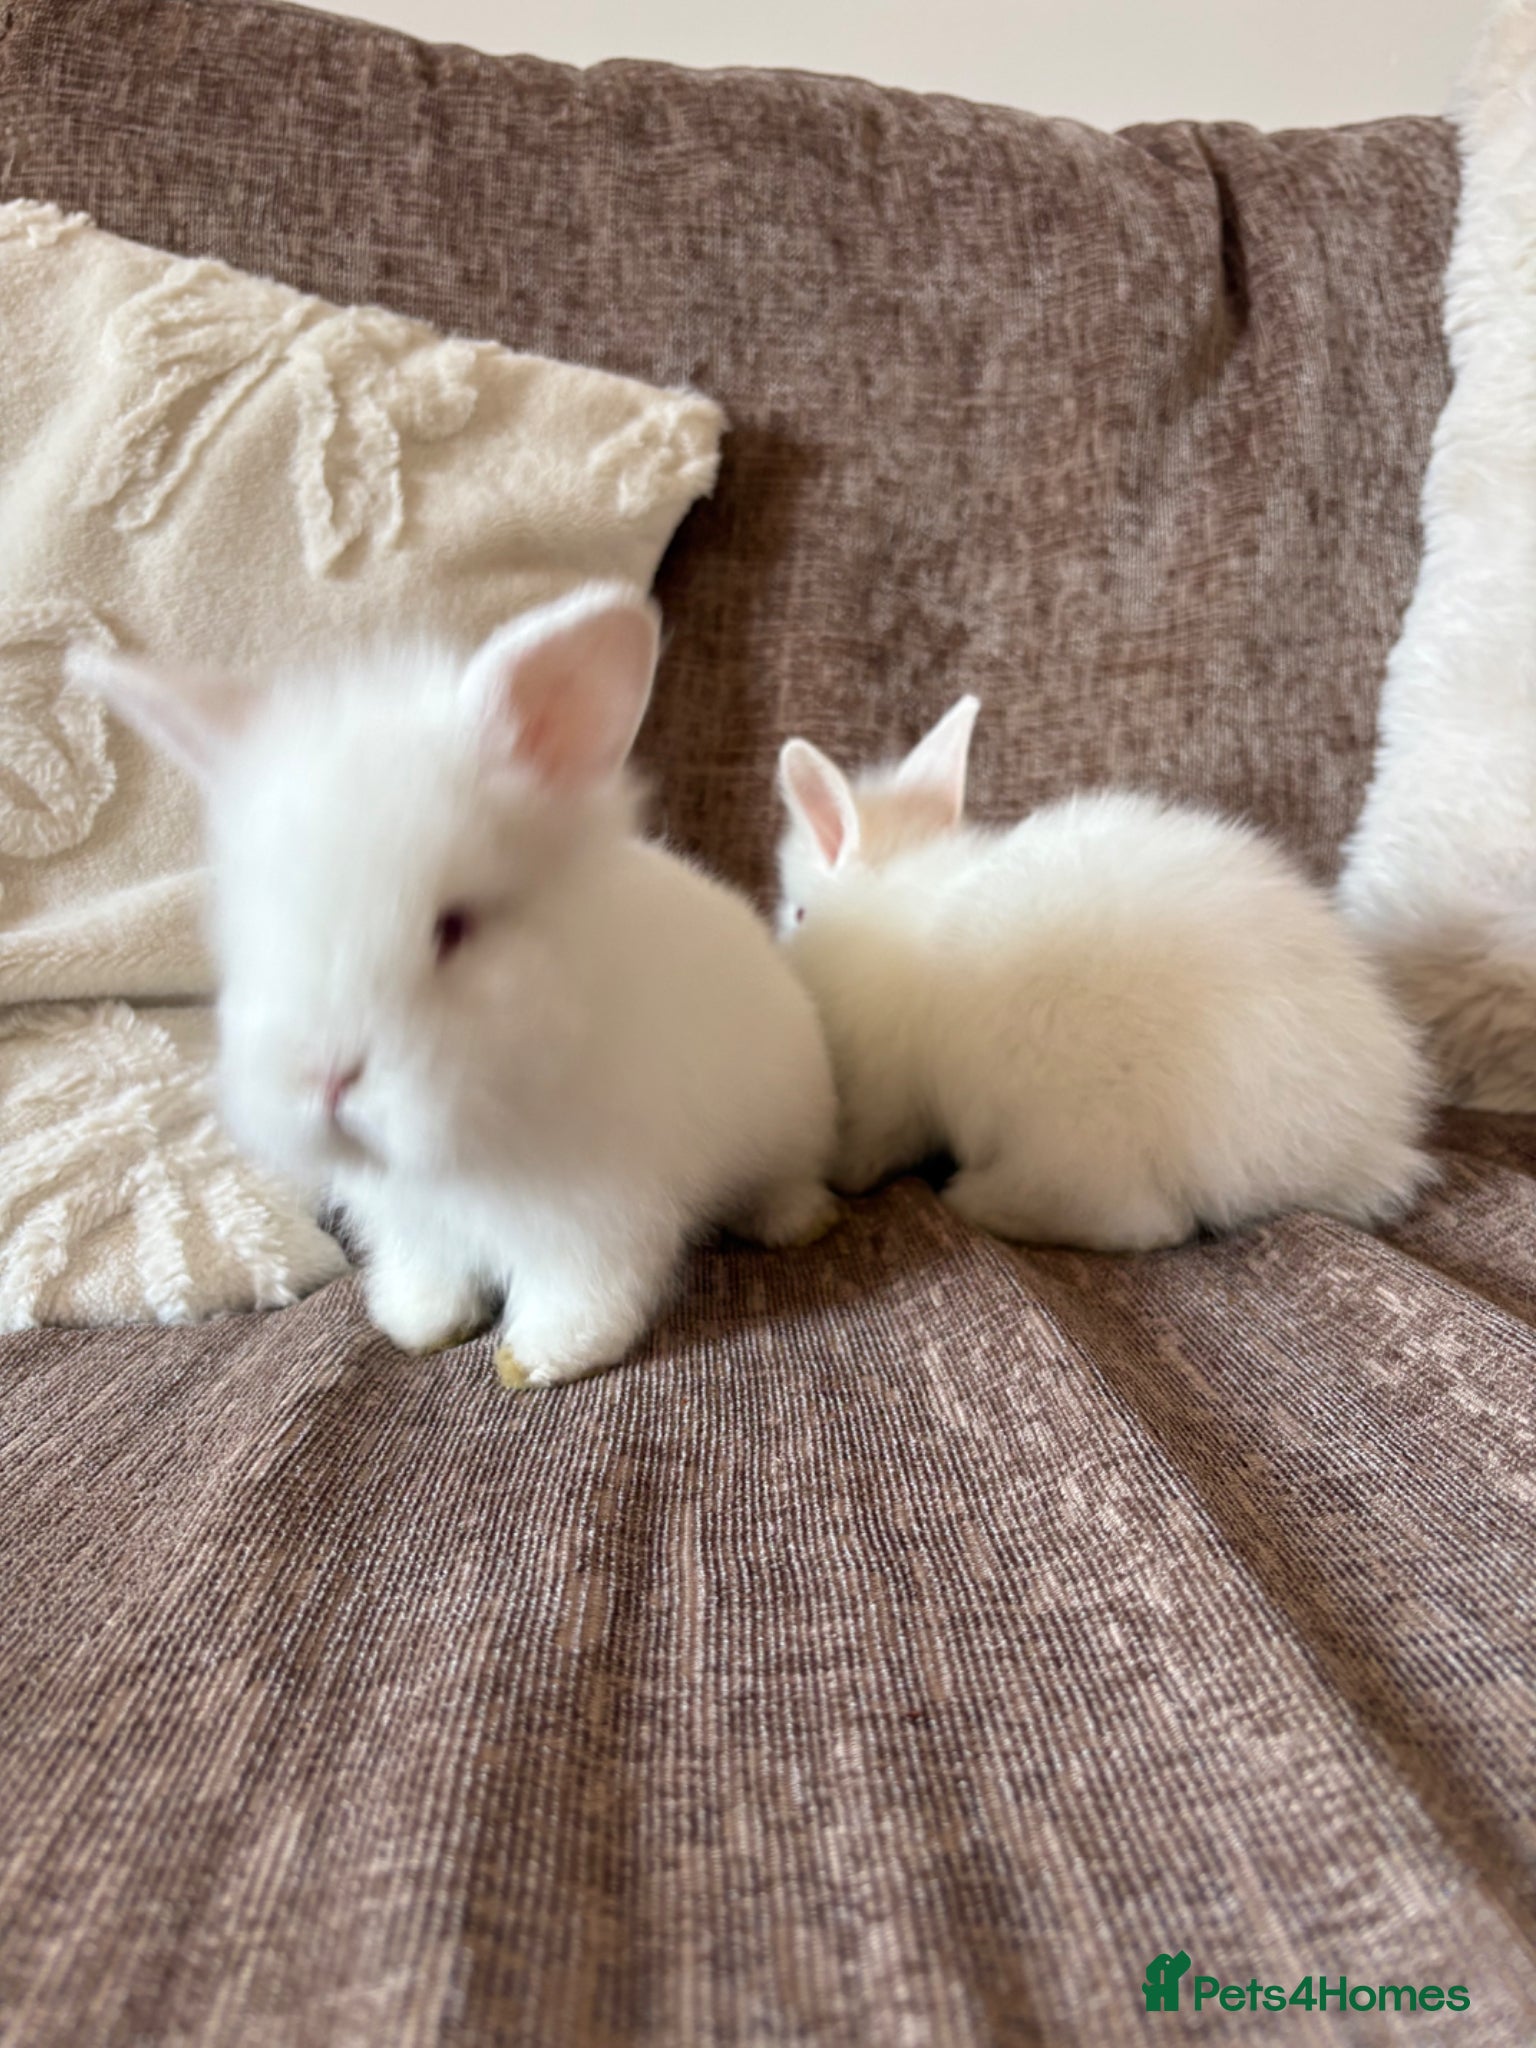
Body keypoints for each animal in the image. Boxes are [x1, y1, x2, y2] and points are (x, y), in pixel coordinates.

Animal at [68, 584, 839, 1386]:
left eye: (453, 926)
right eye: (248, 930)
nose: (327, 1079)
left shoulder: (598, 1217)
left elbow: (581, 1292)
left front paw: (537, 1360)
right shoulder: (412, 1222)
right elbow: (428, 1275)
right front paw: (421, 1327)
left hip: (789, 1129)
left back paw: (795, 1224)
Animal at [775, 695, 1434, 1253]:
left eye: (799, 913)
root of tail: (1338, 1146)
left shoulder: (887, 1087)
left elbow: (872, 1146)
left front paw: (839, 1176)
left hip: (1064, 1116)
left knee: (1137, 1221)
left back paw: (975, 1201)